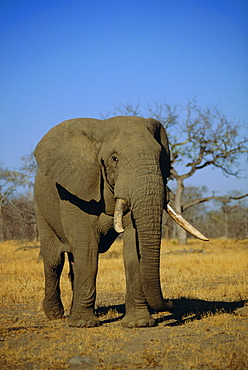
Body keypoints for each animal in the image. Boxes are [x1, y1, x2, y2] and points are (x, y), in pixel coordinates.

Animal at [34, 115, 208, 326]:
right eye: (114, 159)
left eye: (161, 158)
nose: (170, 302)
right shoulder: (74, 191)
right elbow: (88, 248)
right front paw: (84, 325)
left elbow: (133, 248)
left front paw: (139, 324)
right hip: (41, 209)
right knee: (54, 261)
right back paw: (55, 314)